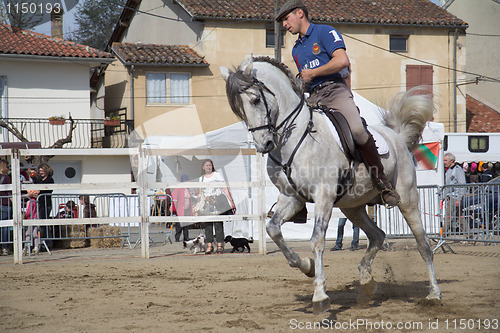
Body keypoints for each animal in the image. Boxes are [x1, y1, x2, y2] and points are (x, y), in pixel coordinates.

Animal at [221, 55, 440, 312]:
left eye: (255, 100)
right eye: (239, 110)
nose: (264, 144)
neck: (295, 138)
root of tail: (397, 137)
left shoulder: (323, 196)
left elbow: (316, 241)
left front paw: (320, 295)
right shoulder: (292, 198)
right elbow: (273, 229)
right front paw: (306, 266)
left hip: (407, 199)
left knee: (423, 245)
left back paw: (434, 294)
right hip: (352, 207)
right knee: (377, 235)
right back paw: (366, 282)